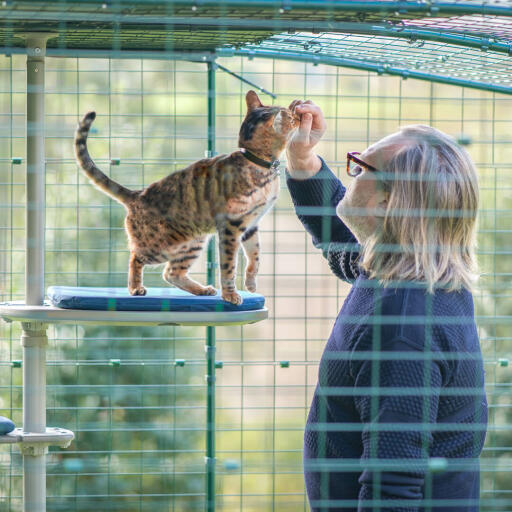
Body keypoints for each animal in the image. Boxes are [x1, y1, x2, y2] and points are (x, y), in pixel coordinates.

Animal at [73, 90, 298, 304]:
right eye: (289, 116)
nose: (295, 111)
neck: (256, 162)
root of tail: (137, 194)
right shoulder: (231, 226)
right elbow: (228, 266)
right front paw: (230, 295)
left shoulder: (251, 224)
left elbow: (255, 256)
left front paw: (250, 283)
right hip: (161, 245)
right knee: (136, 257)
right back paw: (135, 288)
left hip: (192, 243)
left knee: (171, 273)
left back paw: (202, 290)